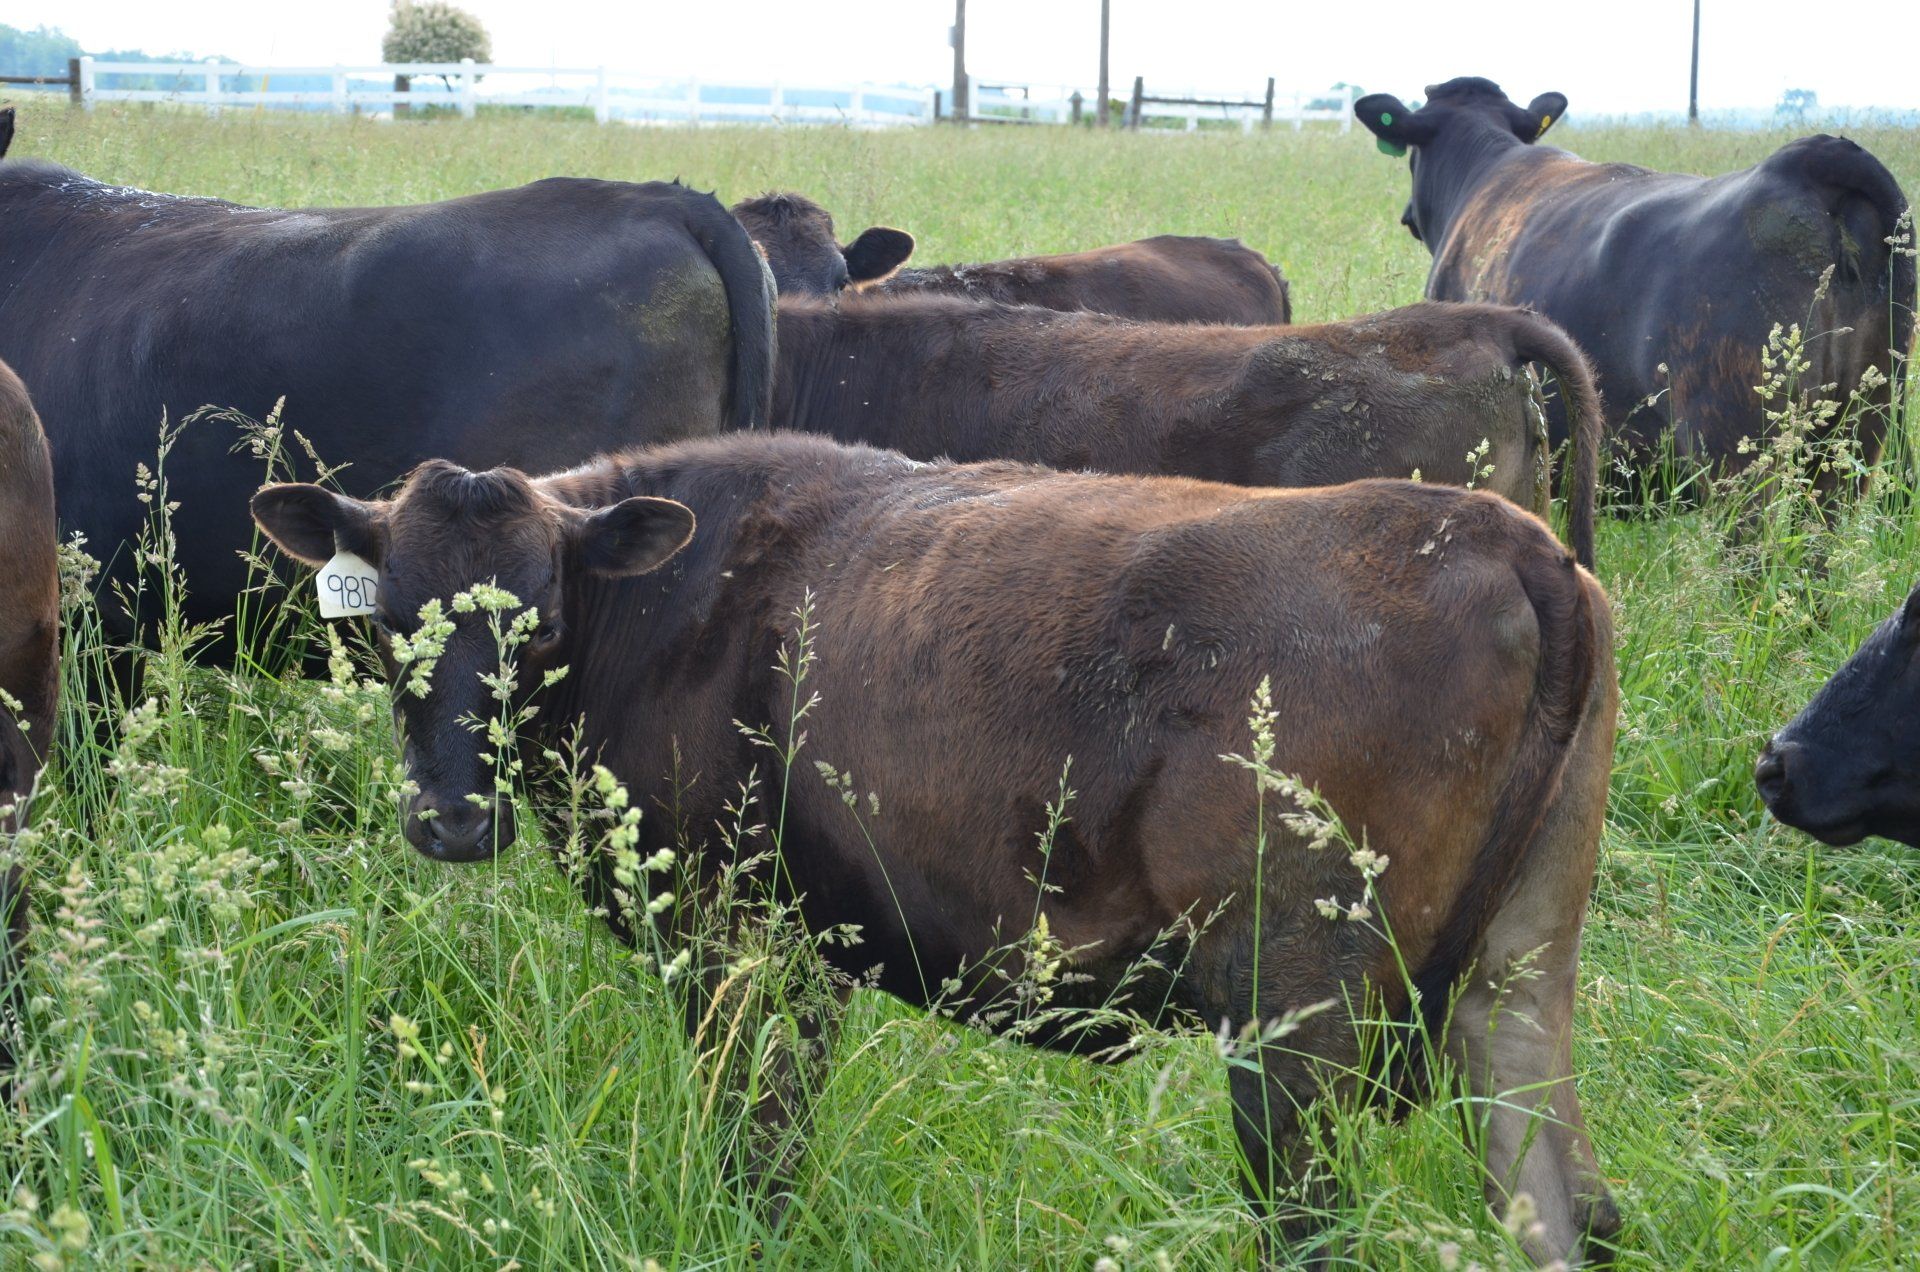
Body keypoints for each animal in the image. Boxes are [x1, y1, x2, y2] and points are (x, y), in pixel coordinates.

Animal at [252, 431, 1620, 1265]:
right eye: (380, 621)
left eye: (532, 622)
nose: (449, 817)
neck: (677, 607)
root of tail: (1511, 541)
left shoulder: (735, 936)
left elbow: (755, 1144)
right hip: (1514, 980)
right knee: (1567, 1209)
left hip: (1299, 1015)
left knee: (1313, 1222)